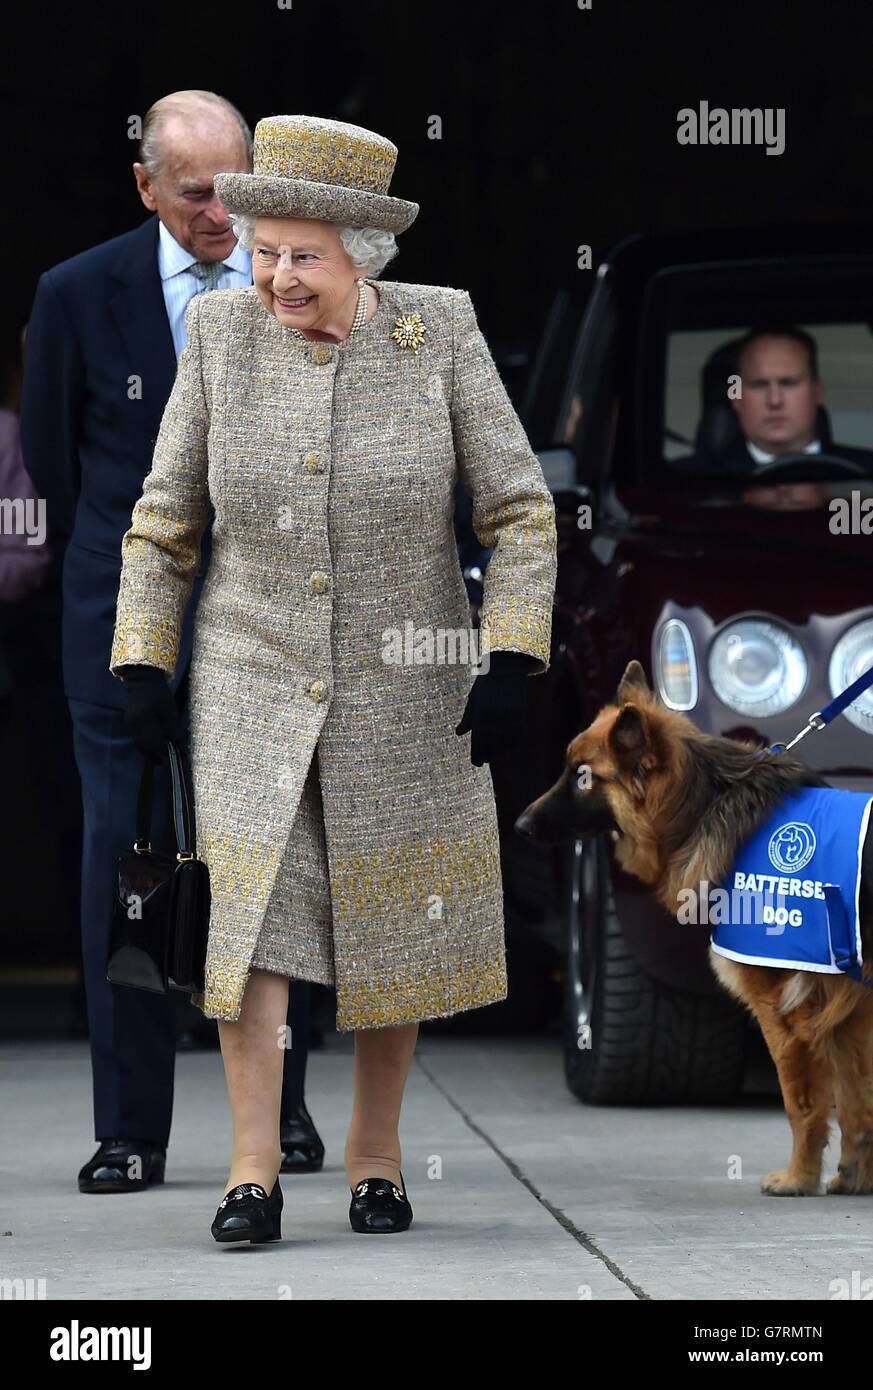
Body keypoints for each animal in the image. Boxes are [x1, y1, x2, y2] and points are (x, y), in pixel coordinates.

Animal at [514, 661, 873, 1195]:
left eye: (583, 778)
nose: (519, 825)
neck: (704, 805)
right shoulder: (849, 1015)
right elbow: (856, 1104)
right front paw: (852, 1177)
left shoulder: (785, 1013)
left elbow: (802, 1105)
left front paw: (798, 1178)